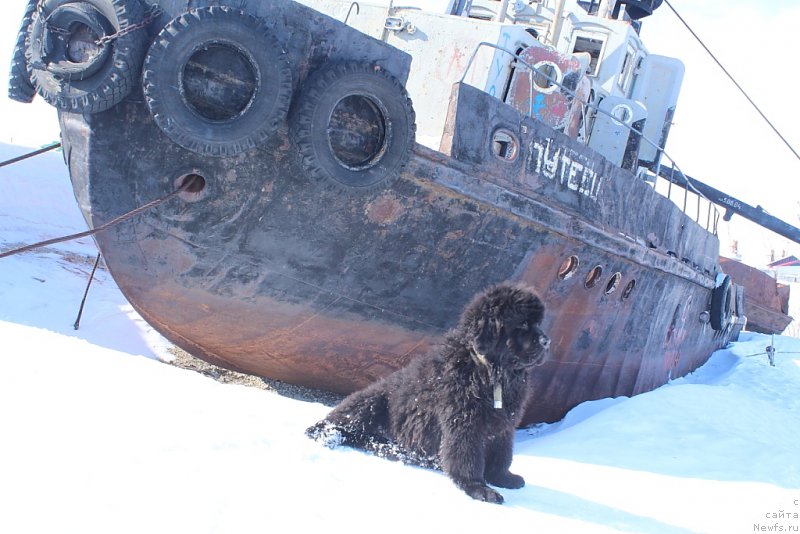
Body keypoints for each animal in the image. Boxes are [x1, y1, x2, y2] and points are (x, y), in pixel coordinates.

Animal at [306, 282, 552, 504]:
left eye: (538, 324)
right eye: (522, 324)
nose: (547, 341)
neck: (487, 370)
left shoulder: (504, 425)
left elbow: (503, 455)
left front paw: (503, 478)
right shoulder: (464, 423)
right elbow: (467, 458)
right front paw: (478, 489)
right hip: (370, 401)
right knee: (331, 424)